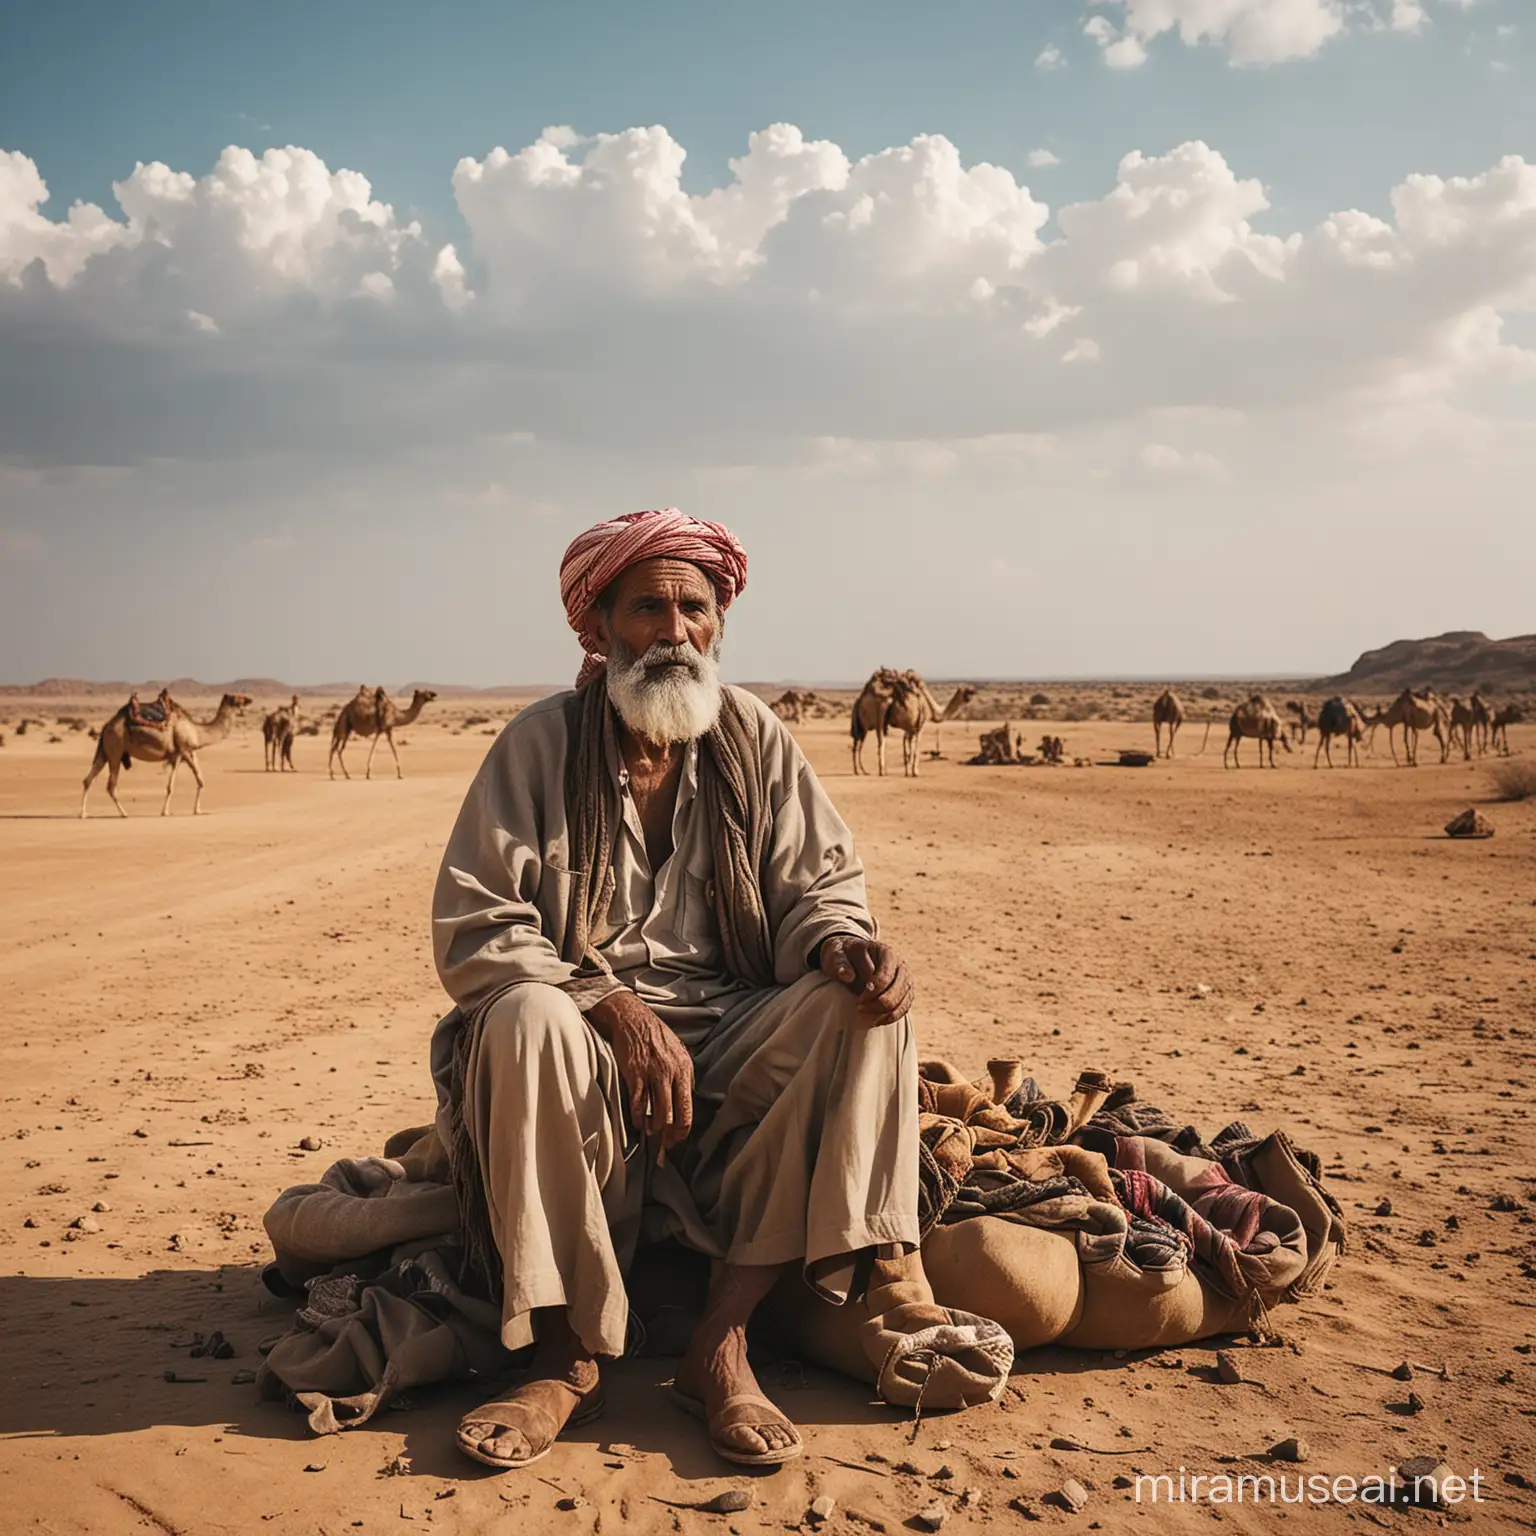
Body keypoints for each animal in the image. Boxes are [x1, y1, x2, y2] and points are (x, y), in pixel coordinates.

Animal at [81, 694, 251, 817]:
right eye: (238, 699)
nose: (250, 699)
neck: (197, 732)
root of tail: (106, 726)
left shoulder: (183, 754)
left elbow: (198, 781)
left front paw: (197, 810)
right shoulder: (183, 750)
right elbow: (174, 786)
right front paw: (165, 812)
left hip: (105, 752)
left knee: (87, 780)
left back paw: (82, 814)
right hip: (115, 751)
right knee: (111, 786)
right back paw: (124, 813)